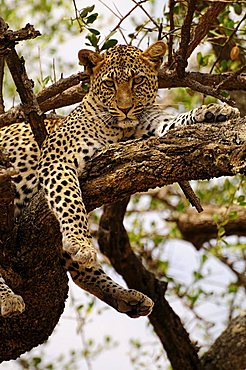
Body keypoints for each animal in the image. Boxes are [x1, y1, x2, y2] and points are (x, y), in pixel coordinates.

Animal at [0, 40, 239, 318]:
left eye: (137, 81)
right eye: (109, 84)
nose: (125, 109)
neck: (120, 129)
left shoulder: (155, 126)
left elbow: (177, 121)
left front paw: (214, 111)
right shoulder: (56, 158)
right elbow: (70, 203)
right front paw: (80, 242)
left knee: (81, 273)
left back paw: (127, 298)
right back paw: (8, 299)